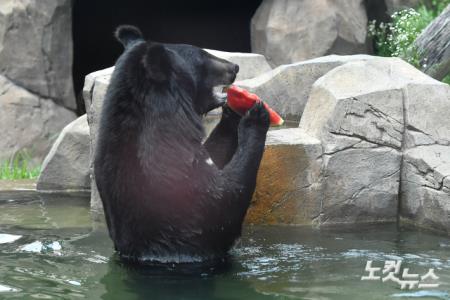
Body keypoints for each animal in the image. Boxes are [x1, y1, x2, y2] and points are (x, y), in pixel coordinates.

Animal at [94, 25, 268, 264]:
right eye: (203, 55)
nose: (235, 67)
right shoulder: (171, 173)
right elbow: (224, 201)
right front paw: (255, 117)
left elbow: (213, 157)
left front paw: (234, 110)